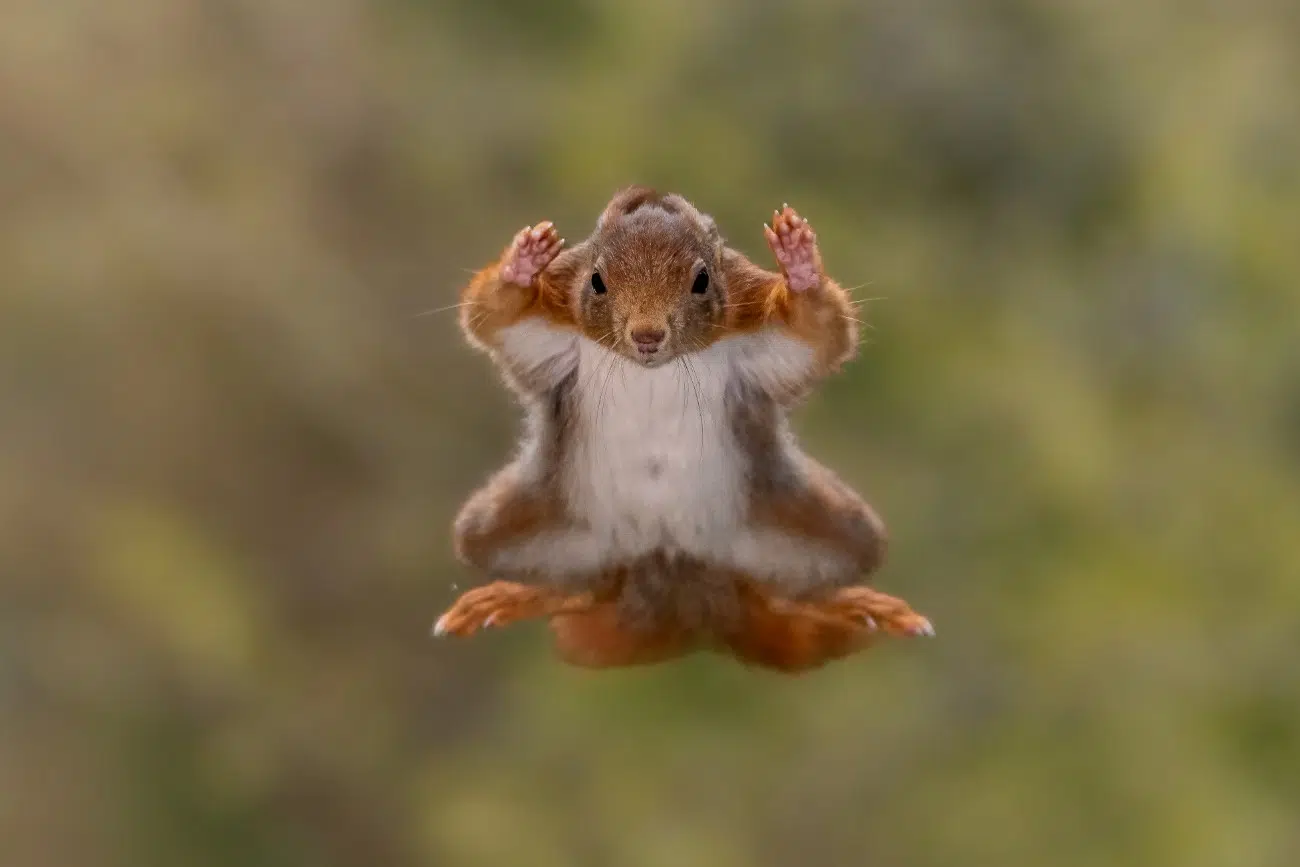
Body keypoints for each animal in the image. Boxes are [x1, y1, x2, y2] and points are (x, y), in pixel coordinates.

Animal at [433, 186, 932, 673]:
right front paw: (521, 266)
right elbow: (493, 318)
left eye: (702, 280)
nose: (647, 336)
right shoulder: (553, 325)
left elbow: (818, 334)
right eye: (596, 280)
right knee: (582, 586)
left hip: (817, 525)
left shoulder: (754, 326)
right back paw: (521, 595)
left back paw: (849, 604)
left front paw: (800, 266)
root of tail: (675, 574)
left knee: (786, 592)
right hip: (522, 524)